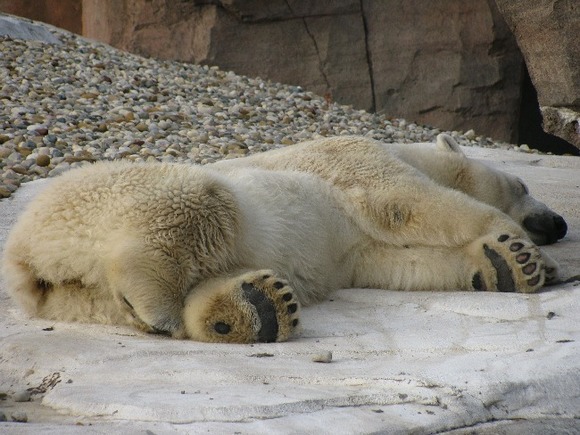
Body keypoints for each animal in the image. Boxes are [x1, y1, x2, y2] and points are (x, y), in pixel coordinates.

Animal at [2, 135, 568, 344]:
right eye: (522, 184)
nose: (559, 223)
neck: (406, 149)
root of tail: (26, 259)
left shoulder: (357, 249)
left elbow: (397, 263)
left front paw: (506, 265)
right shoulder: (353, 158)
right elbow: (407, 204)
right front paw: (530, 253)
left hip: (77, 299)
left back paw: (252, 308)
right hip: (116, 195)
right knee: (197, 203)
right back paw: (162, 304)